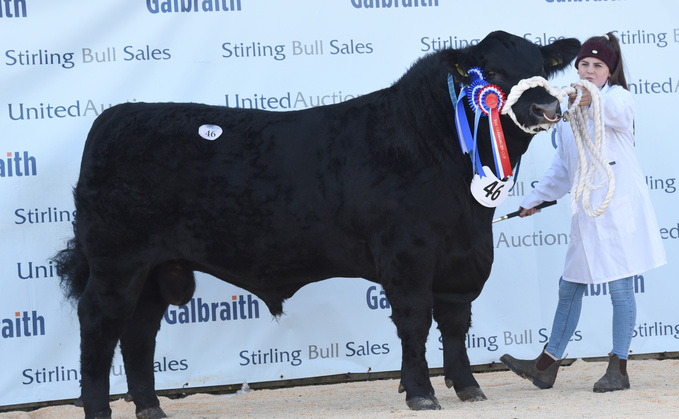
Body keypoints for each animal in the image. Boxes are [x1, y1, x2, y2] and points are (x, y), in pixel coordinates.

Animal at [54, 31, 580, 418]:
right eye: (492, 72)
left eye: (541, 66)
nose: (546, 108)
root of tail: (115, 117)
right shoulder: (407, 253)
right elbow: (414, 320)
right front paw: (420, 392)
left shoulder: (462, 256)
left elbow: (455, 323)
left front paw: (468, 387)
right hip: (116, 261)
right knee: (99, 324)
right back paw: (98, 409)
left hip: (156, 269)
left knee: (138, 332)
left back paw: (151, 408)